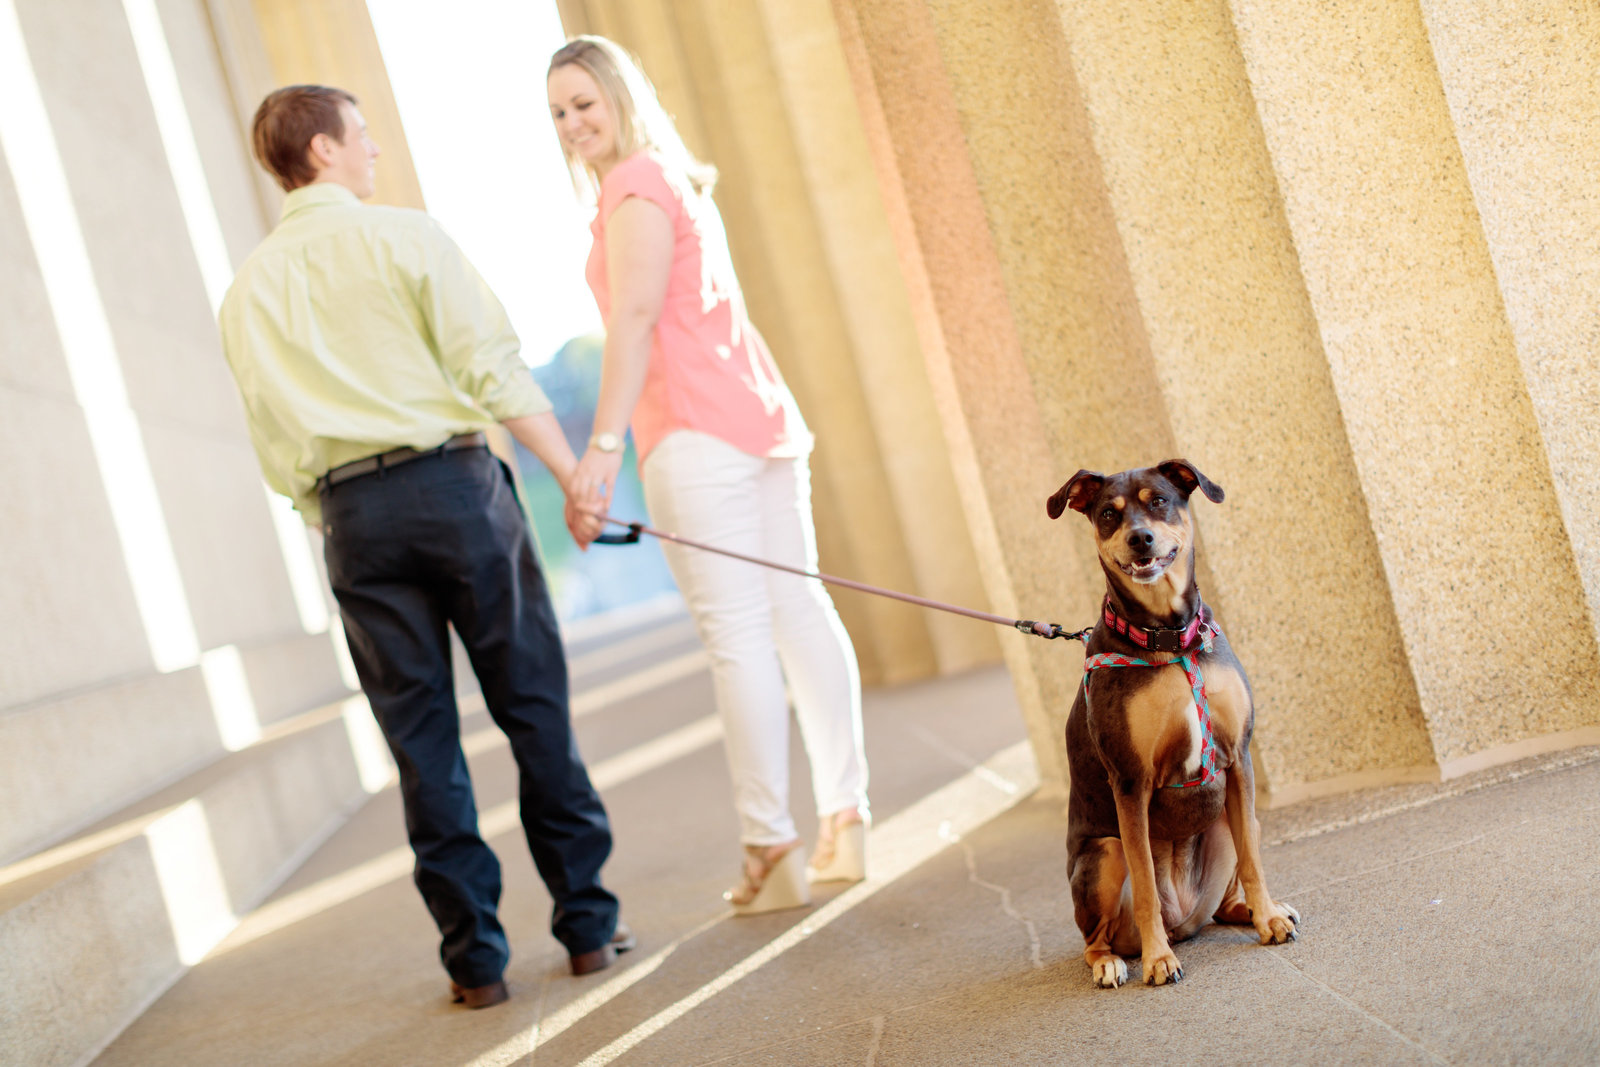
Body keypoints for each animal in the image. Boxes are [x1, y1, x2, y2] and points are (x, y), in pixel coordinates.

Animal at [1049, 460, 1299, 985]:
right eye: (1108, 514)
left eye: (1160, 500)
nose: (1140, 538)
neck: (1169, 638)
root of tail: (1183, 919)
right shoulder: (1130, 784)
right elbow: (1145, 881)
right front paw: (1158, 960)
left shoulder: (1238, 758)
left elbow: (1254, 862)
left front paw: (1267, 918)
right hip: (1103, 853)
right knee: (1095, 937)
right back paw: (1114, 961)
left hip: (1234, 817)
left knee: (1227, 894)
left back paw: (1252, 911)